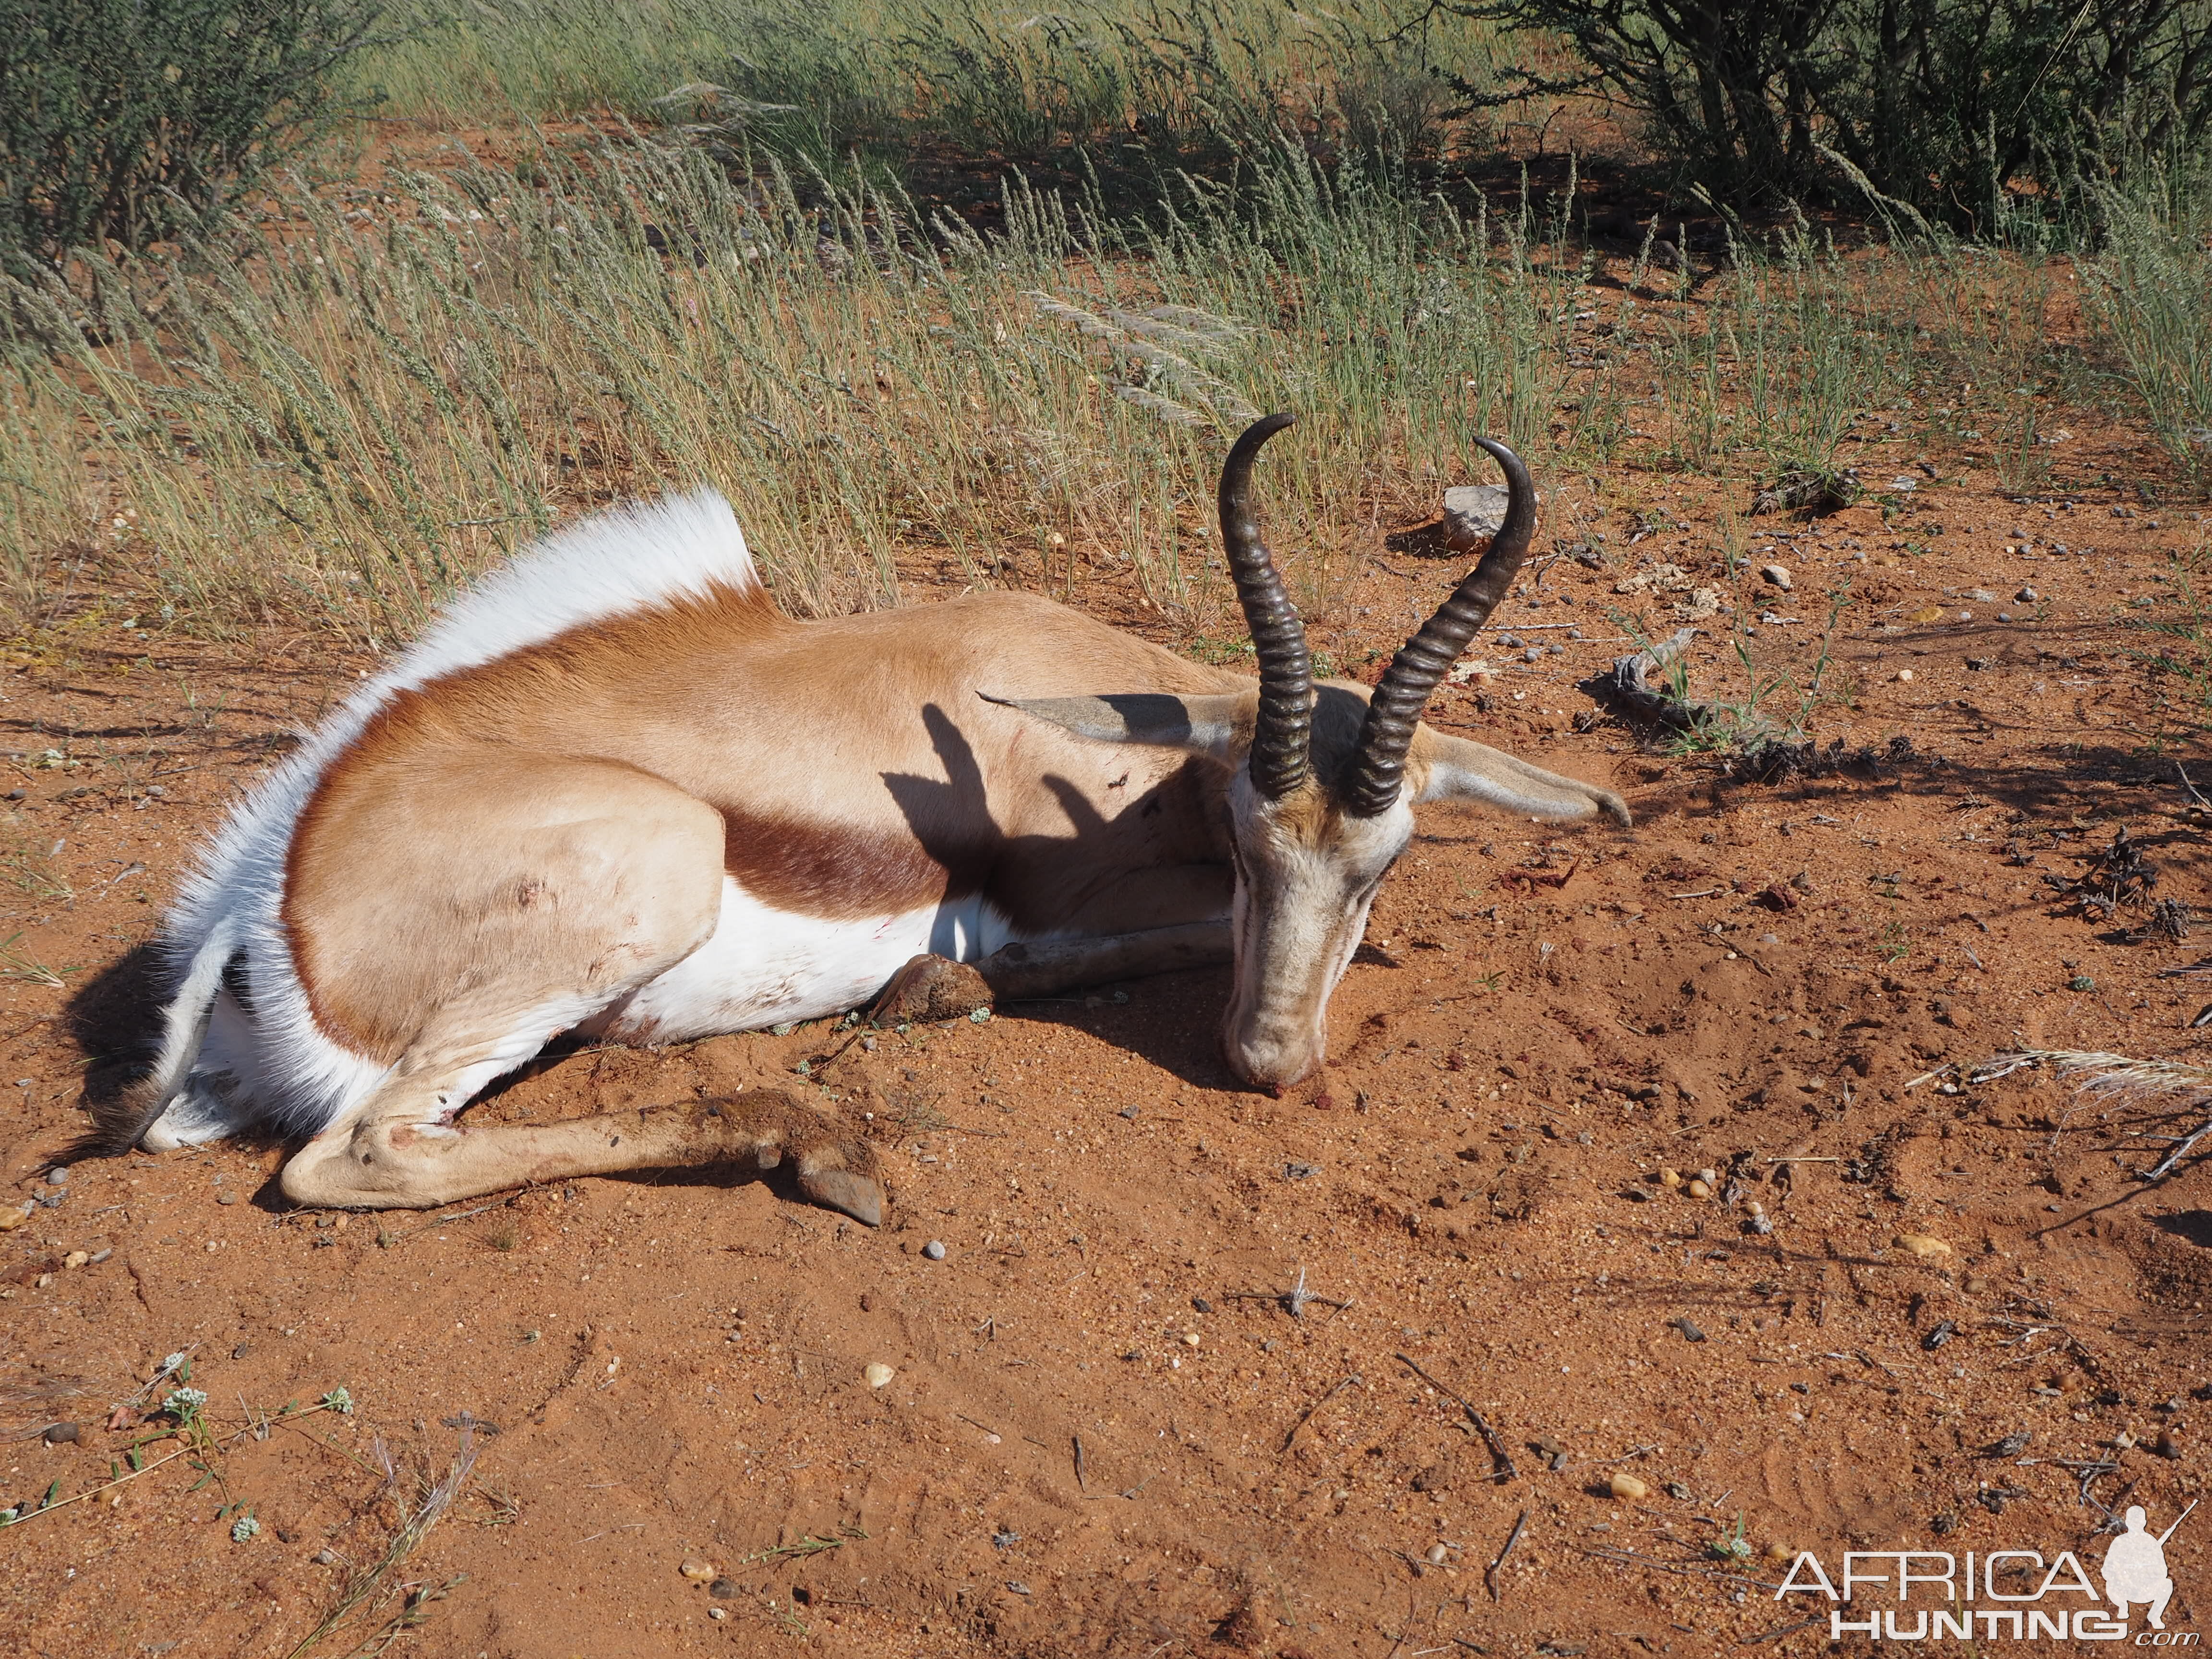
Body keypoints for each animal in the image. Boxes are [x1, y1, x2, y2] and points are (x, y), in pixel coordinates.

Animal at [95, 416, 1628, 1221]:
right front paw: (940, 988)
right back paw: (802, 1140)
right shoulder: (1086, 897)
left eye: (1385, 860)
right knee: (354, 1155)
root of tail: (271, 900)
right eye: (1255, 847)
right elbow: (1085, 945)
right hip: (650, 881)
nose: (1270, 1062)